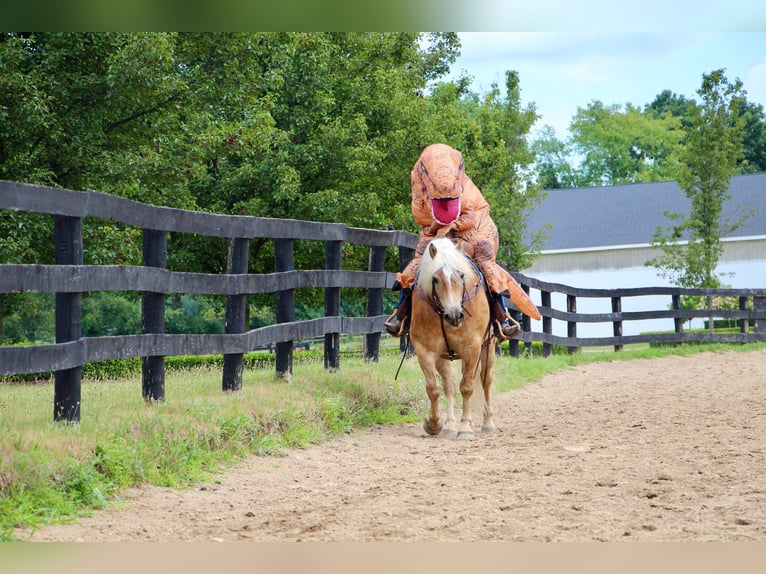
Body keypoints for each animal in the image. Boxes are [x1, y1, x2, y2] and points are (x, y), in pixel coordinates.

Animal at [408, 238, 498, 440]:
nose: (454, 315)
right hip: (444, 357)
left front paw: (465, 428)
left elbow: (467, 387)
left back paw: (488, 423)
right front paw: (434, 424)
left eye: (461, 275)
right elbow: (433, 388)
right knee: (449, 386)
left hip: (488, 348)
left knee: (486, 382)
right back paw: (449, 425)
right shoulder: (425, 351)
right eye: (435, 279)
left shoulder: (472, 348)